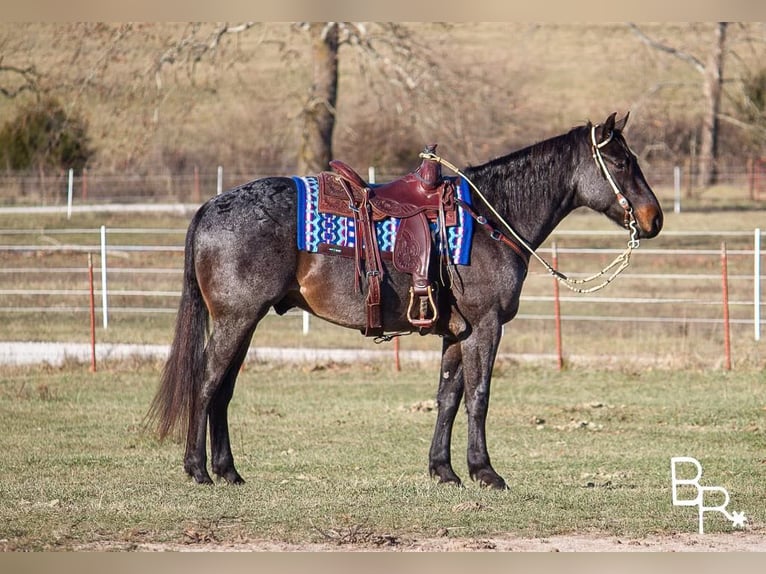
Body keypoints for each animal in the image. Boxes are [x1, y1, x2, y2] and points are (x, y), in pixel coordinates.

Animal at [148, 111, 664, 490]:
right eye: (621, 162)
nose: (653, 218)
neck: (490, 218)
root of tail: (210, 207)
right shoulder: (486, 326)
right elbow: (479, 397)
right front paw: (485, 472)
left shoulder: (457, 333)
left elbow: (448, 397)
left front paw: (444, 470)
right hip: (235, 321)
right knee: (206, 385)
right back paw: (197, 469)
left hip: (243, 323)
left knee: (223, 391)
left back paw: (228, 471)